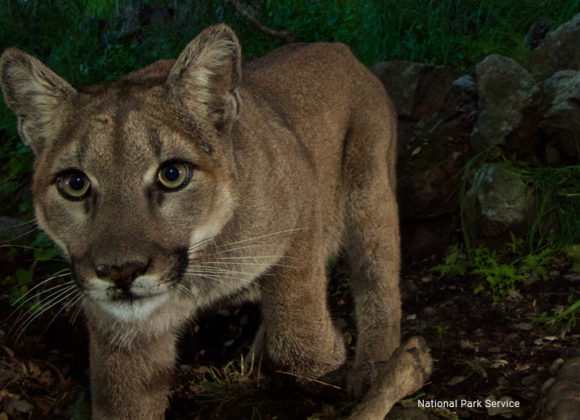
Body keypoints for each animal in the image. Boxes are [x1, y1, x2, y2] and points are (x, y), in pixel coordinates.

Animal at [1, 24, 430, 418]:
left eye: (172, 174)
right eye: (74, 183)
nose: (121, 271)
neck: (200, 265)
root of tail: (337, 47)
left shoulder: (301, 201)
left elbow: (296, 316)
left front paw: (326, 356)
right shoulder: (120, 332)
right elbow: (126, 402)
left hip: (369, 192)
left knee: (378, 280)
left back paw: (377, 366)